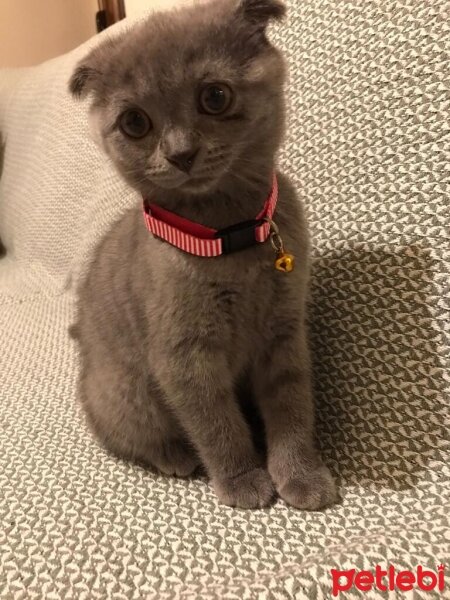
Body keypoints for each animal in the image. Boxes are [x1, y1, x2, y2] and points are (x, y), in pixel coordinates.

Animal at [69, 0, 338, 508]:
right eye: (135, 122)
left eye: (215, 96)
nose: (180, 153)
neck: (227, 236)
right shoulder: (184, 357)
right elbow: (217, 424)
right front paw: (243, 480)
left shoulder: (285, 331)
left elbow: (291, 404)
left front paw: (301, 475)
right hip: (127, 393)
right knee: (124, 435)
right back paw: (175, 457)